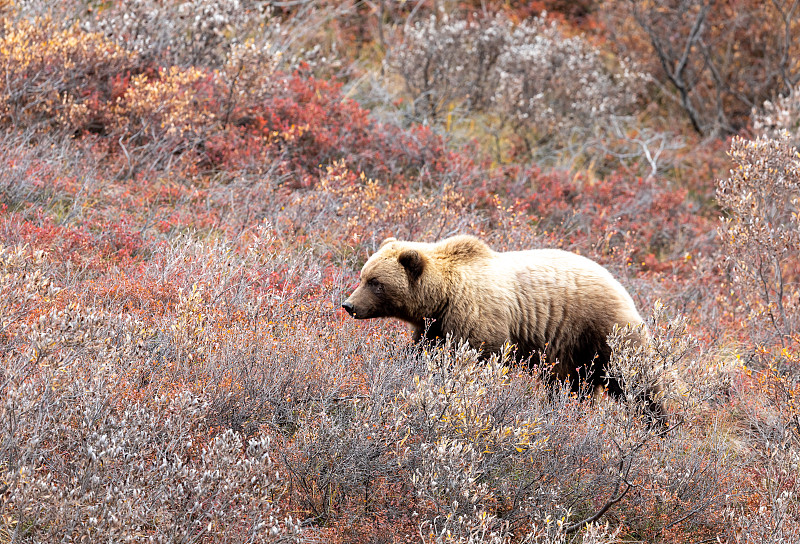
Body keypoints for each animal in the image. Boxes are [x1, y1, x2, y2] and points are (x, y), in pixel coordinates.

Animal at [344, 236, 664, 414]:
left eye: (376, 283)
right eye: (363, 276)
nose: (349, 306)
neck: (443, 298)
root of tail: (623, 288)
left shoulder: (478, 319)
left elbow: (477, 358)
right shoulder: (436, 327)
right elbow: (425, 353)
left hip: (601, 330)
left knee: (638, 383)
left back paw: (657, 424)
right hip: (572, 353)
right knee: (571, 386)